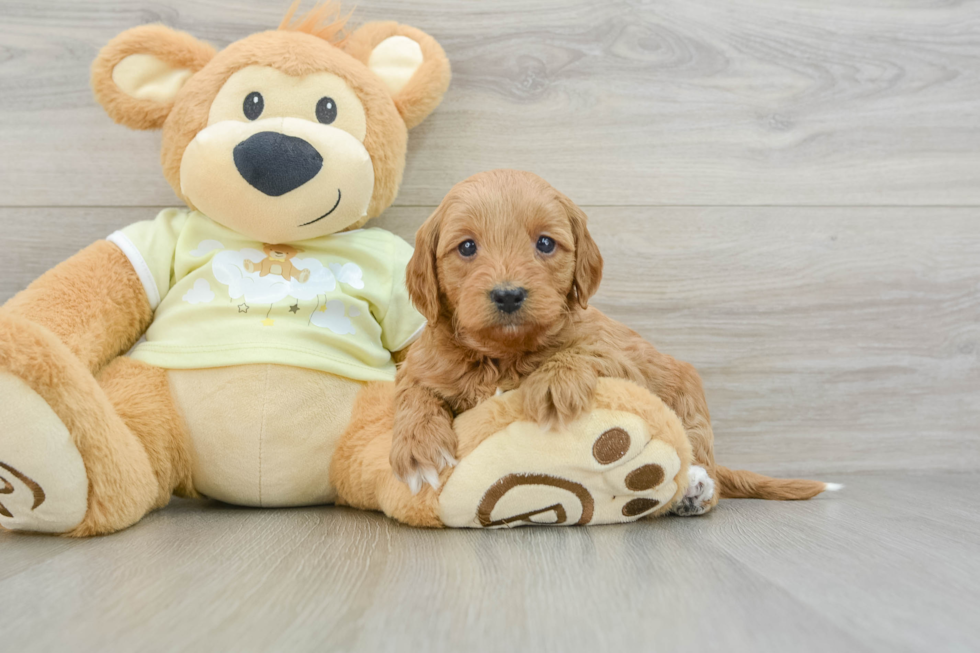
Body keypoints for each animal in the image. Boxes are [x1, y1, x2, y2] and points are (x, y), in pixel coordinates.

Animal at [392, 167, 836, 510]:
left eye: (545, 243)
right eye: (467, 246)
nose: (508, 294)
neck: (504, 354)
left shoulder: (619, 355)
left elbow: (585, 351)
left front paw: (553, 382)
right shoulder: (422, 365)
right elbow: (414, 393)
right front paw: (419, 448)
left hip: (688, 392)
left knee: (700, 455)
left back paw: (695, 487)